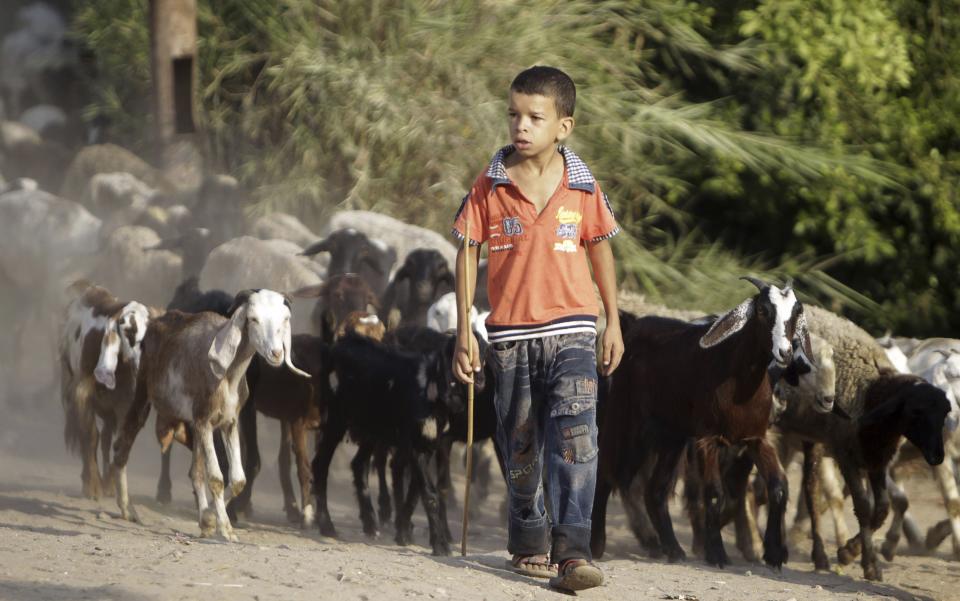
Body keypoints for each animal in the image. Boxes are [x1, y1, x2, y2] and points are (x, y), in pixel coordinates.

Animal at [60, 280, 156, 496]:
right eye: (128, 329)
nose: (144, 362)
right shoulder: (82, 394)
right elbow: (90, 436)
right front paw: (92, 486)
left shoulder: (127, 405)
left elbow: (120, 442)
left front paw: (110, 485)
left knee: (105, 439)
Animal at [110, 288, 310, 540]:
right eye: (253, 319)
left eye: (285, 319)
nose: (276, 354)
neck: (228, 376)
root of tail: (158, 320)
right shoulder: (204, 420)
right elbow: (216, 478)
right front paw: (225, 529)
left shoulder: (229, 422)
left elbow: (238, 479)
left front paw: (210, 518)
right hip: (144, 393)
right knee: (122, 447)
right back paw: (128, 509)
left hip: (193, 425)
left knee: (195, 472)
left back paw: (203, 520)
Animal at [592, 276, 808, 568]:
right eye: (763, 310)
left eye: (796, 312)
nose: (784, 352)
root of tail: (631, 325)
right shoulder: (708, 439)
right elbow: (715, 494)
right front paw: (716, 552)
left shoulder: (755, 439)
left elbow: (778, 488)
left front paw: (774, 553)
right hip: (626, 422)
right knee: (605, 473)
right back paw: (596, 544)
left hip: (671, 435)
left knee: (655, 490)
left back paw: (673, 548)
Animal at [780, 308, 952, 580]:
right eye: (916, 412)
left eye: (944, 413)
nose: (937, 456)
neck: (872, 391)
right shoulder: (846, 454)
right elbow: (863, 506)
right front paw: (866, 562)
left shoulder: (876, 459)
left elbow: (880, 509)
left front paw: (850, 551)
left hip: (810, 437)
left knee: (807, 489)